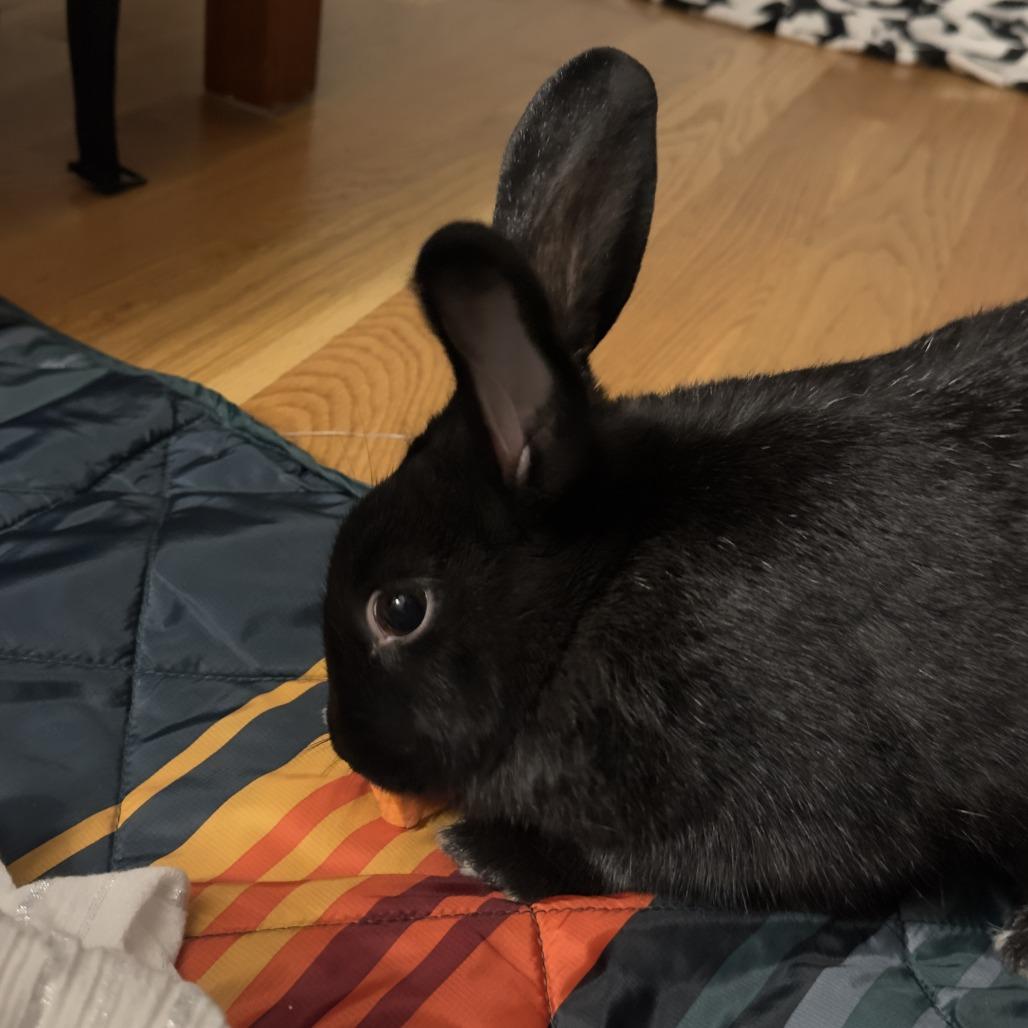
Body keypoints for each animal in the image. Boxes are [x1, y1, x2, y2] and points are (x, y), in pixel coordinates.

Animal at [322, 47, 1028, 972]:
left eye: (400, 609)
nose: (344, 741)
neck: (596, 588)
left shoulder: (771, 806)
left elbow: (640, 864)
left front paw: (488, 852)